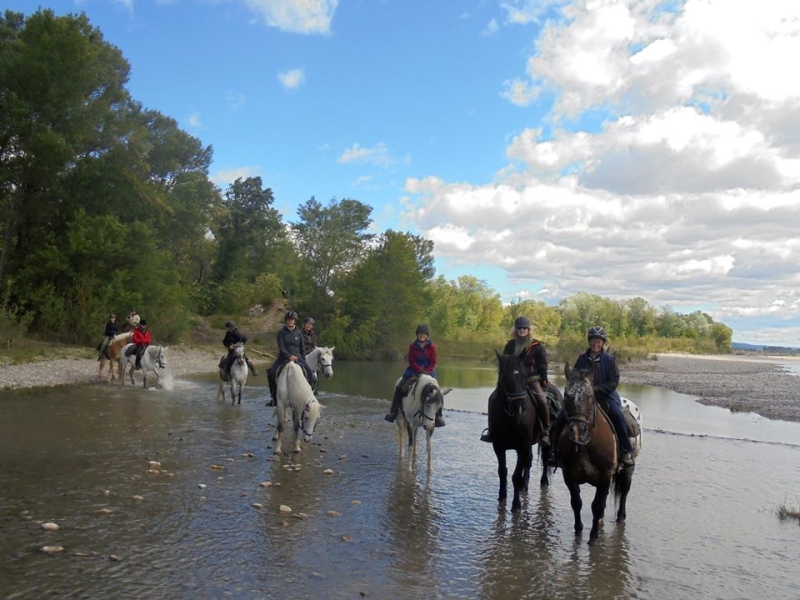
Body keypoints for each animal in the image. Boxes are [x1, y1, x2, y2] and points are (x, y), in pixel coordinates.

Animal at [488, 350, 552, 512]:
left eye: (523, 376)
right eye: (506, 378)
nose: (519, 407)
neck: (510, 418)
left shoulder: (522, 446)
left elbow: (516, 475)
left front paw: (516, 505)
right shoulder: (499, 446)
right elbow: (502, 471)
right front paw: (502, 497)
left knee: (545, 460)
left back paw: (543, 481)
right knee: (528, 462)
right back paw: (525, 485)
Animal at [556, 364, 644, 548]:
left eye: (590, 395)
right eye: (567, 394)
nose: (577, 430)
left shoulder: (604, 476)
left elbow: (596, 506)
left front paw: (593, 537)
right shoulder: (569, 476)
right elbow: (577, 503)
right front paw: (579, 532)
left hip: (628, 469)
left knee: (624, 491)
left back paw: (620, 517)